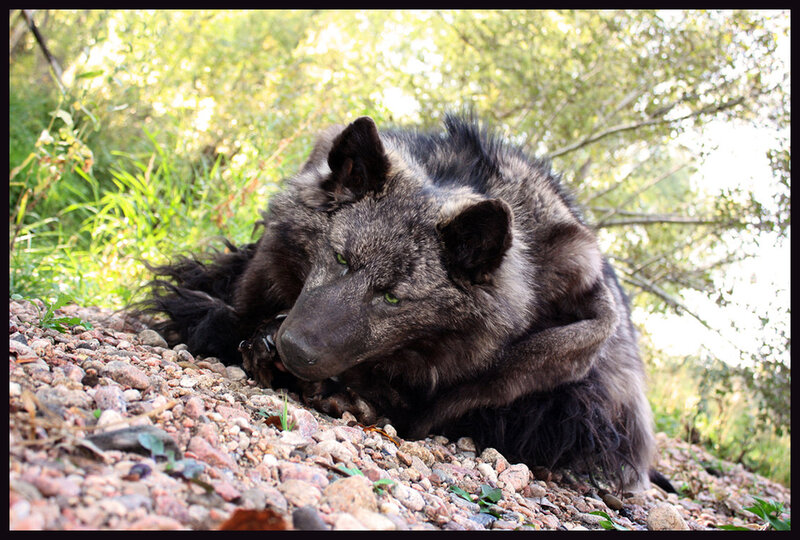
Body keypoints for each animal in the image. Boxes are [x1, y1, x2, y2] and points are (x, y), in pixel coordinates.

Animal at [143, 115, 665, 491]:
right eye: (340, 257)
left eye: (393, 296)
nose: (294, 350)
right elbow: (224, 308)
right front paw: (239, 330)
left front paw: (356, 392)